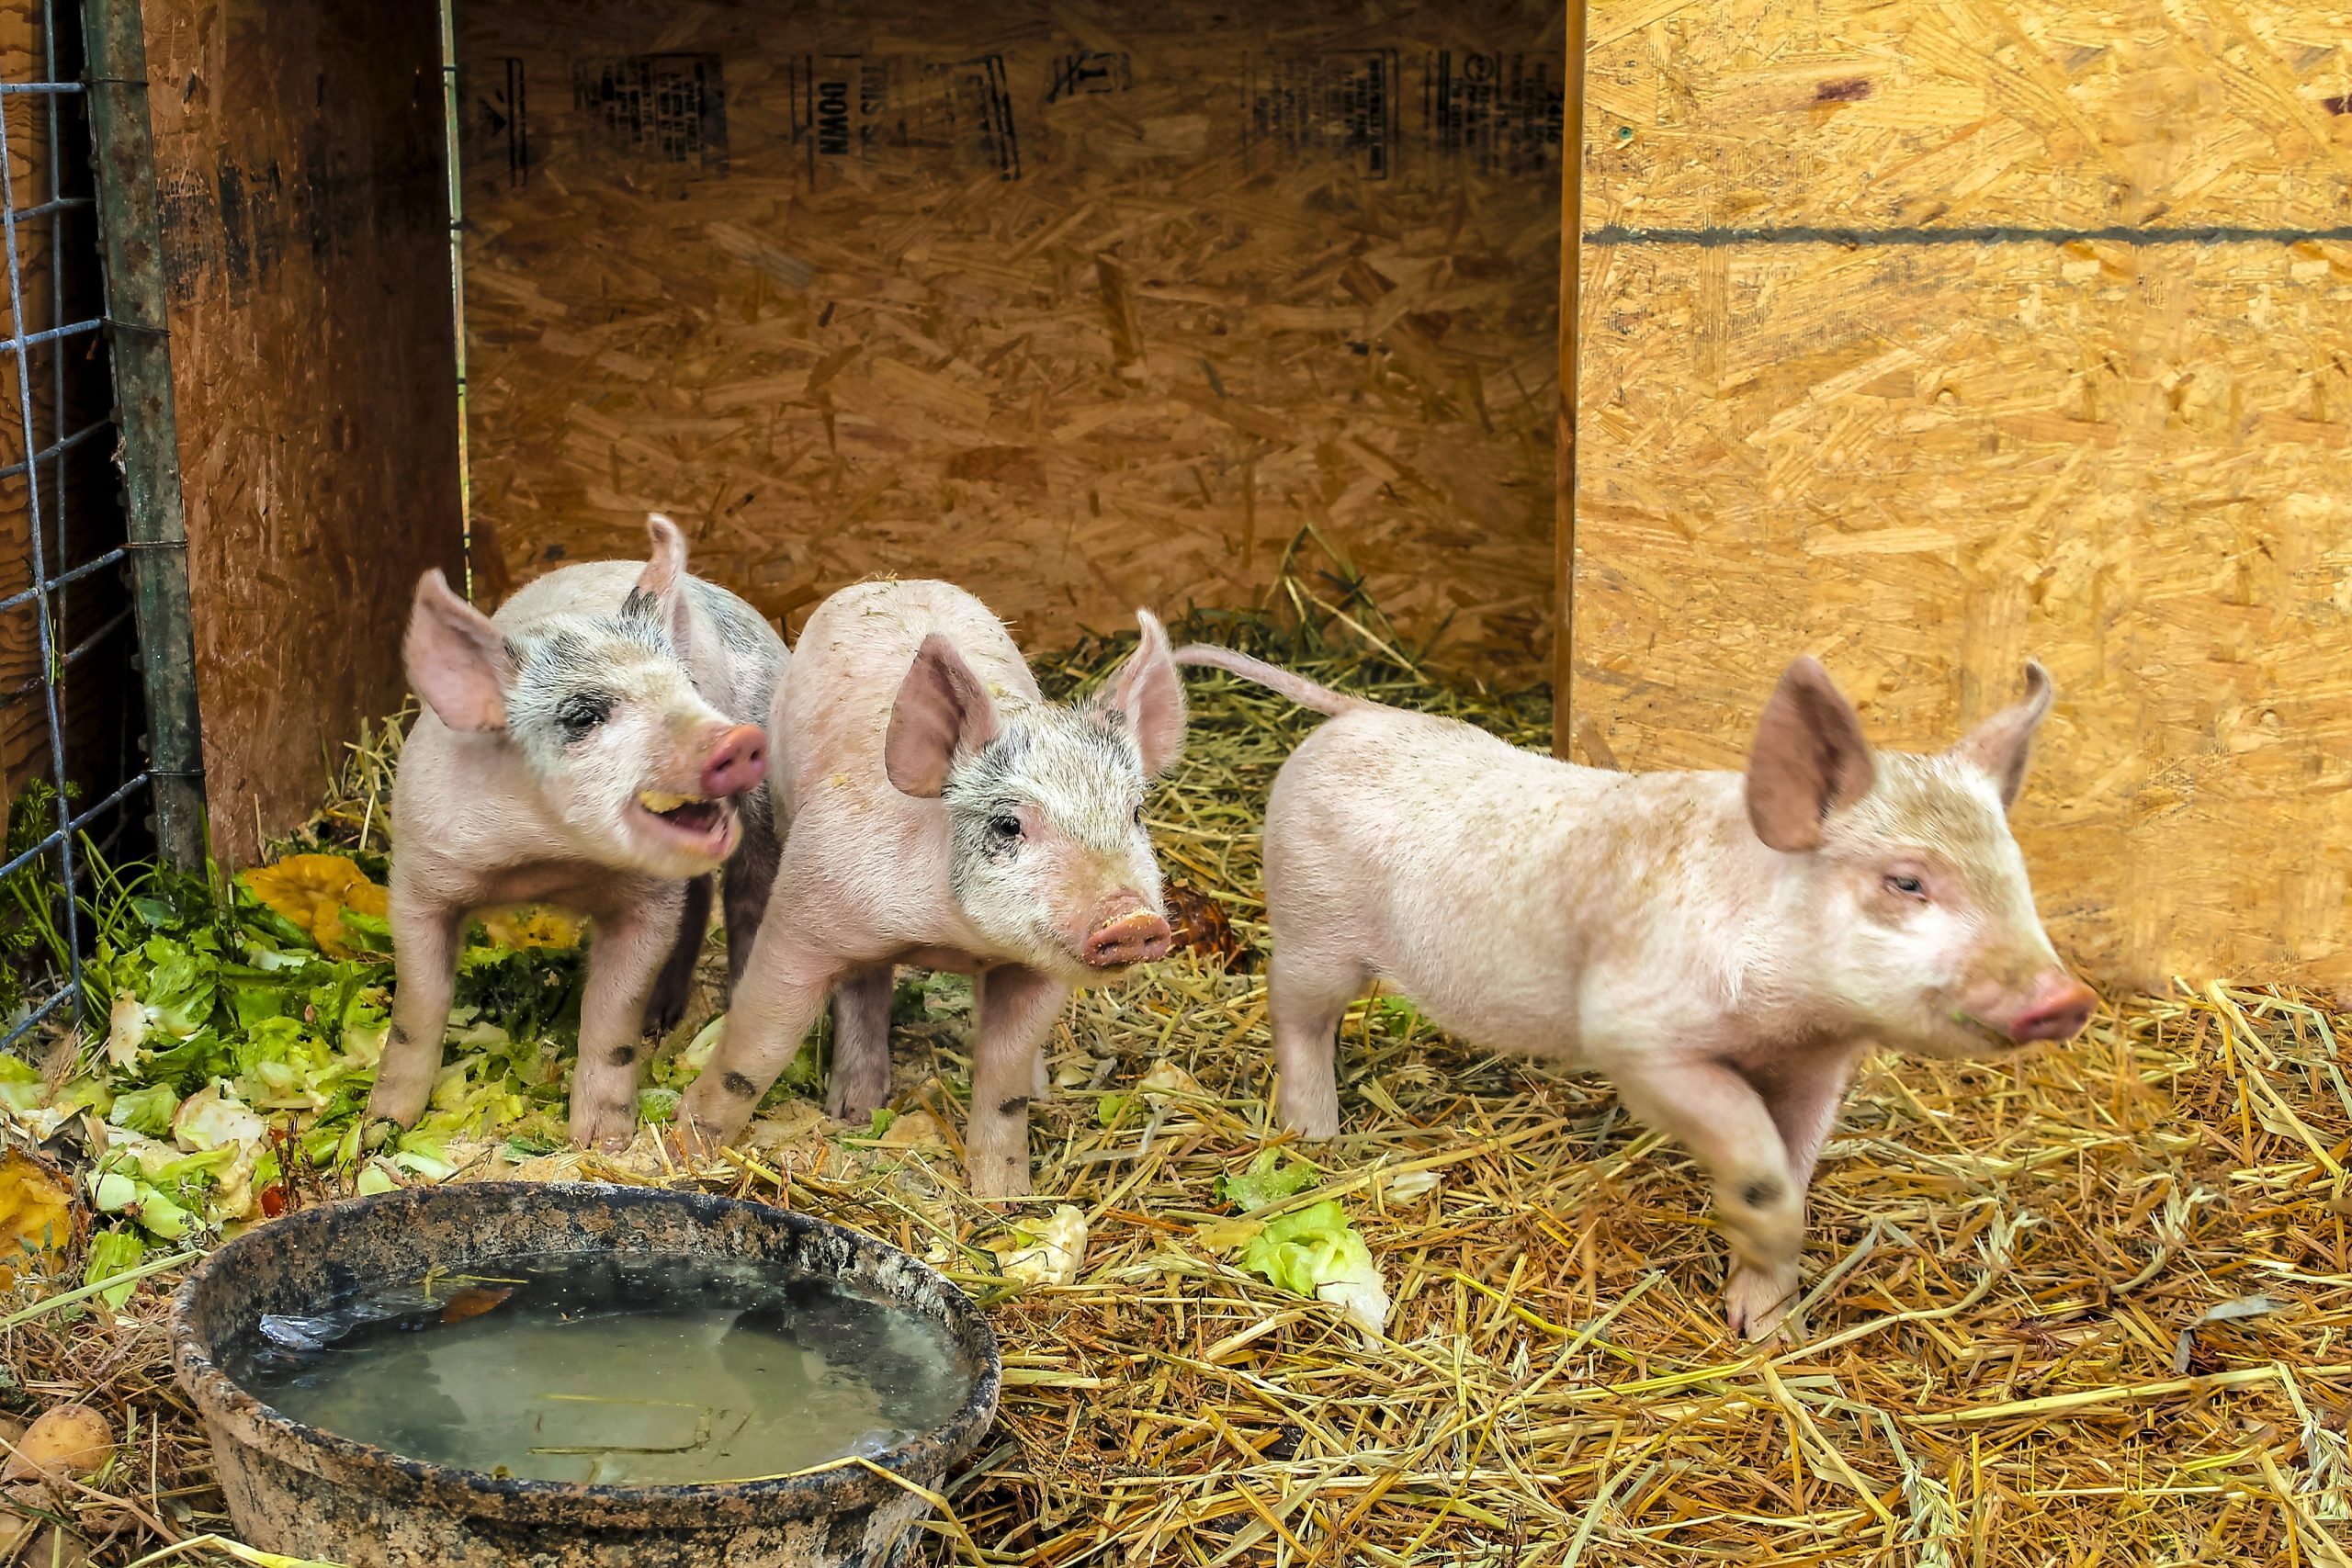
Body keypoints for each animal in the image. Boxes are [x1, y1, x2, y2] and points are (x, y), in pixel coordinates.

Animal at [372, 516, 785, 1151]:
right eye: (584, 716)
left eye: (688, 683)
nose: (736, 740)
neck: (545, 861)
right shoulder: (420, 874)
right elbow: (417, 1008)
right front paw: (382, 1127)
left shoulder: (646, 904)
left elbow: (611, 1017)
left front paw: (602, 1142)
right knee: (700, 894)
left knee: (742, 893)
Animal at [675, 580, 1186, 1196]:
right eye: (1008, 824)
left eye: (1135, 815)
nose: (1131, 919)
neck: (949, 937)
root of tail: (889, 579)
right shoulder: (805, 904)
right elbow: (759, 1042)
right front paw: (685, 1150)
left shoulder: (1036, 971)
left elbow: (1005, 1077)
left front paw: (1005, 1197)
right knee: (865, 985)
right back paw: (855, 1111)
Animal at [1171, 644, 2097, 1338]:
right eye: (1906, 882)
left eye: (2015, 873)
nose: (2068, 997)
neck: (1791, 1018)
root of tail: (1354, 713)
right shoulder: (1634, 1028)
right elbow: (1743, 1135)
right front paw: (1760, 1226)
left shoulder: (1820, 1068)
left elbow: (1793, 1158)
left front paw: (1770, 1328)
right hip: (1311, 927)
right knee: (1294, 1014)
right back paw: (1315, 1140)